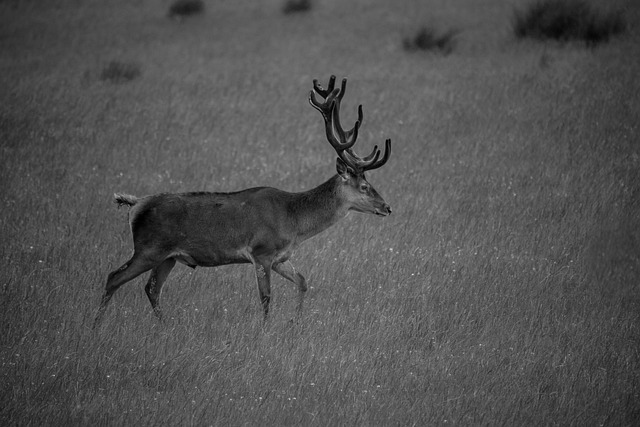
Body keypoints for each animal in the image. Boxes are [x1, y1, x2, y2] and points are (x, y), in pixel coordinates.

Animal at [90, 75, 390, 328]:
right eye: (365, 186)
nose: (387, 207)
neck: (295, 221)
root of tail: (135, 204)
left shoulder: (281, 257)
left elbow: (303, 281)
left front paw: (295, 322)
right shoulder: (262, 251)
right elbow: (266, 297)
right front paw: (266, 330)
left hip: (169, 256)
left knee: (151, 288)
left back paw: (165, 326)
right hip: (148, 248)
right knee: (114, 277)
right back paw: (95, 326)